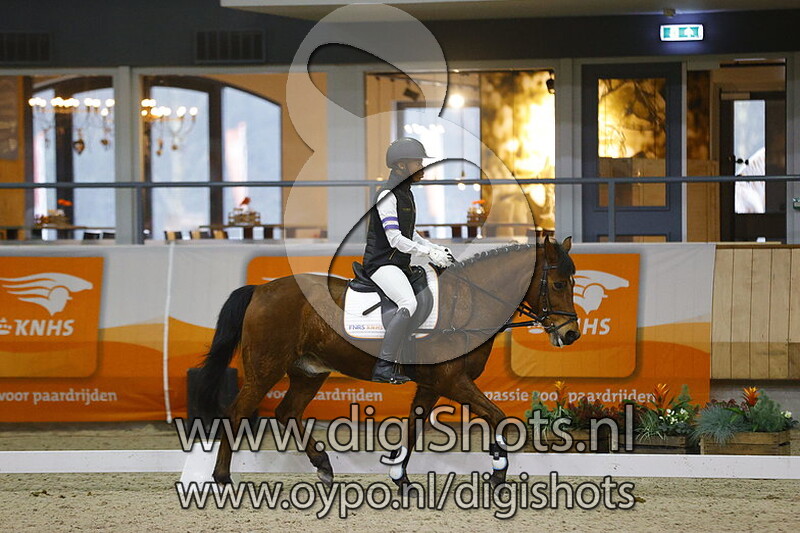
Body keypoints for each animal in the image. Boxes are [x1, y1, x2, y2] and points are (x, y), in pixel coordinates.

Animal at [197, 236, 580, 490]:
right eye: (559, 284)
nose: (572, 333)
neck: (467, 303)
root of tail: (260, 290)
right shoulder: (452, 382)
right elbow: (499, 417)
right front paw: (499, 471)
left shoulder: (431, 385)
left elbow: (413, 427)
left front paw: (400, 476)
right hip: (265, 370)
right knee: (236, 413)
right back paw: (222, 477)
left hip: (309, 371)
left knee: (287, 412)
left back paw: (323, 466)